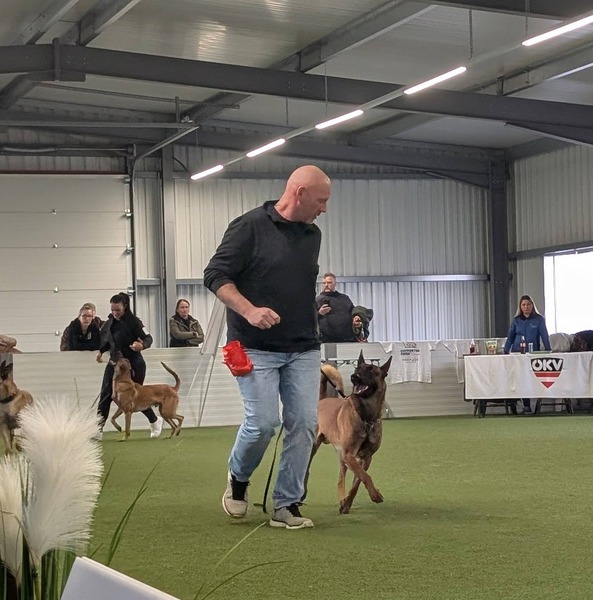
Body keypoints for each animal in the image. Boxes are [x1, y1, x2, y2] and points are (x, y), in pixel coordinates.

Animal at [306, 351, 392, 514]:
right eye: (357, 368)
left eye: (371, 370)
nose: (354, 377)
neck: (366, 417)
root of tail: (322, 400)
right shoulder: (349, 455)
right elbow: (365, 476)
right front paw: (376, 495)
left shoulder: (365, 458)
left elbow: (357, 482)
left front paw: (347, 504)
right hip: (313, 448)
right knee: (305, 470)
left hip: (342, 458)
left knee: (340, 480)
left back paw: (342, 500)